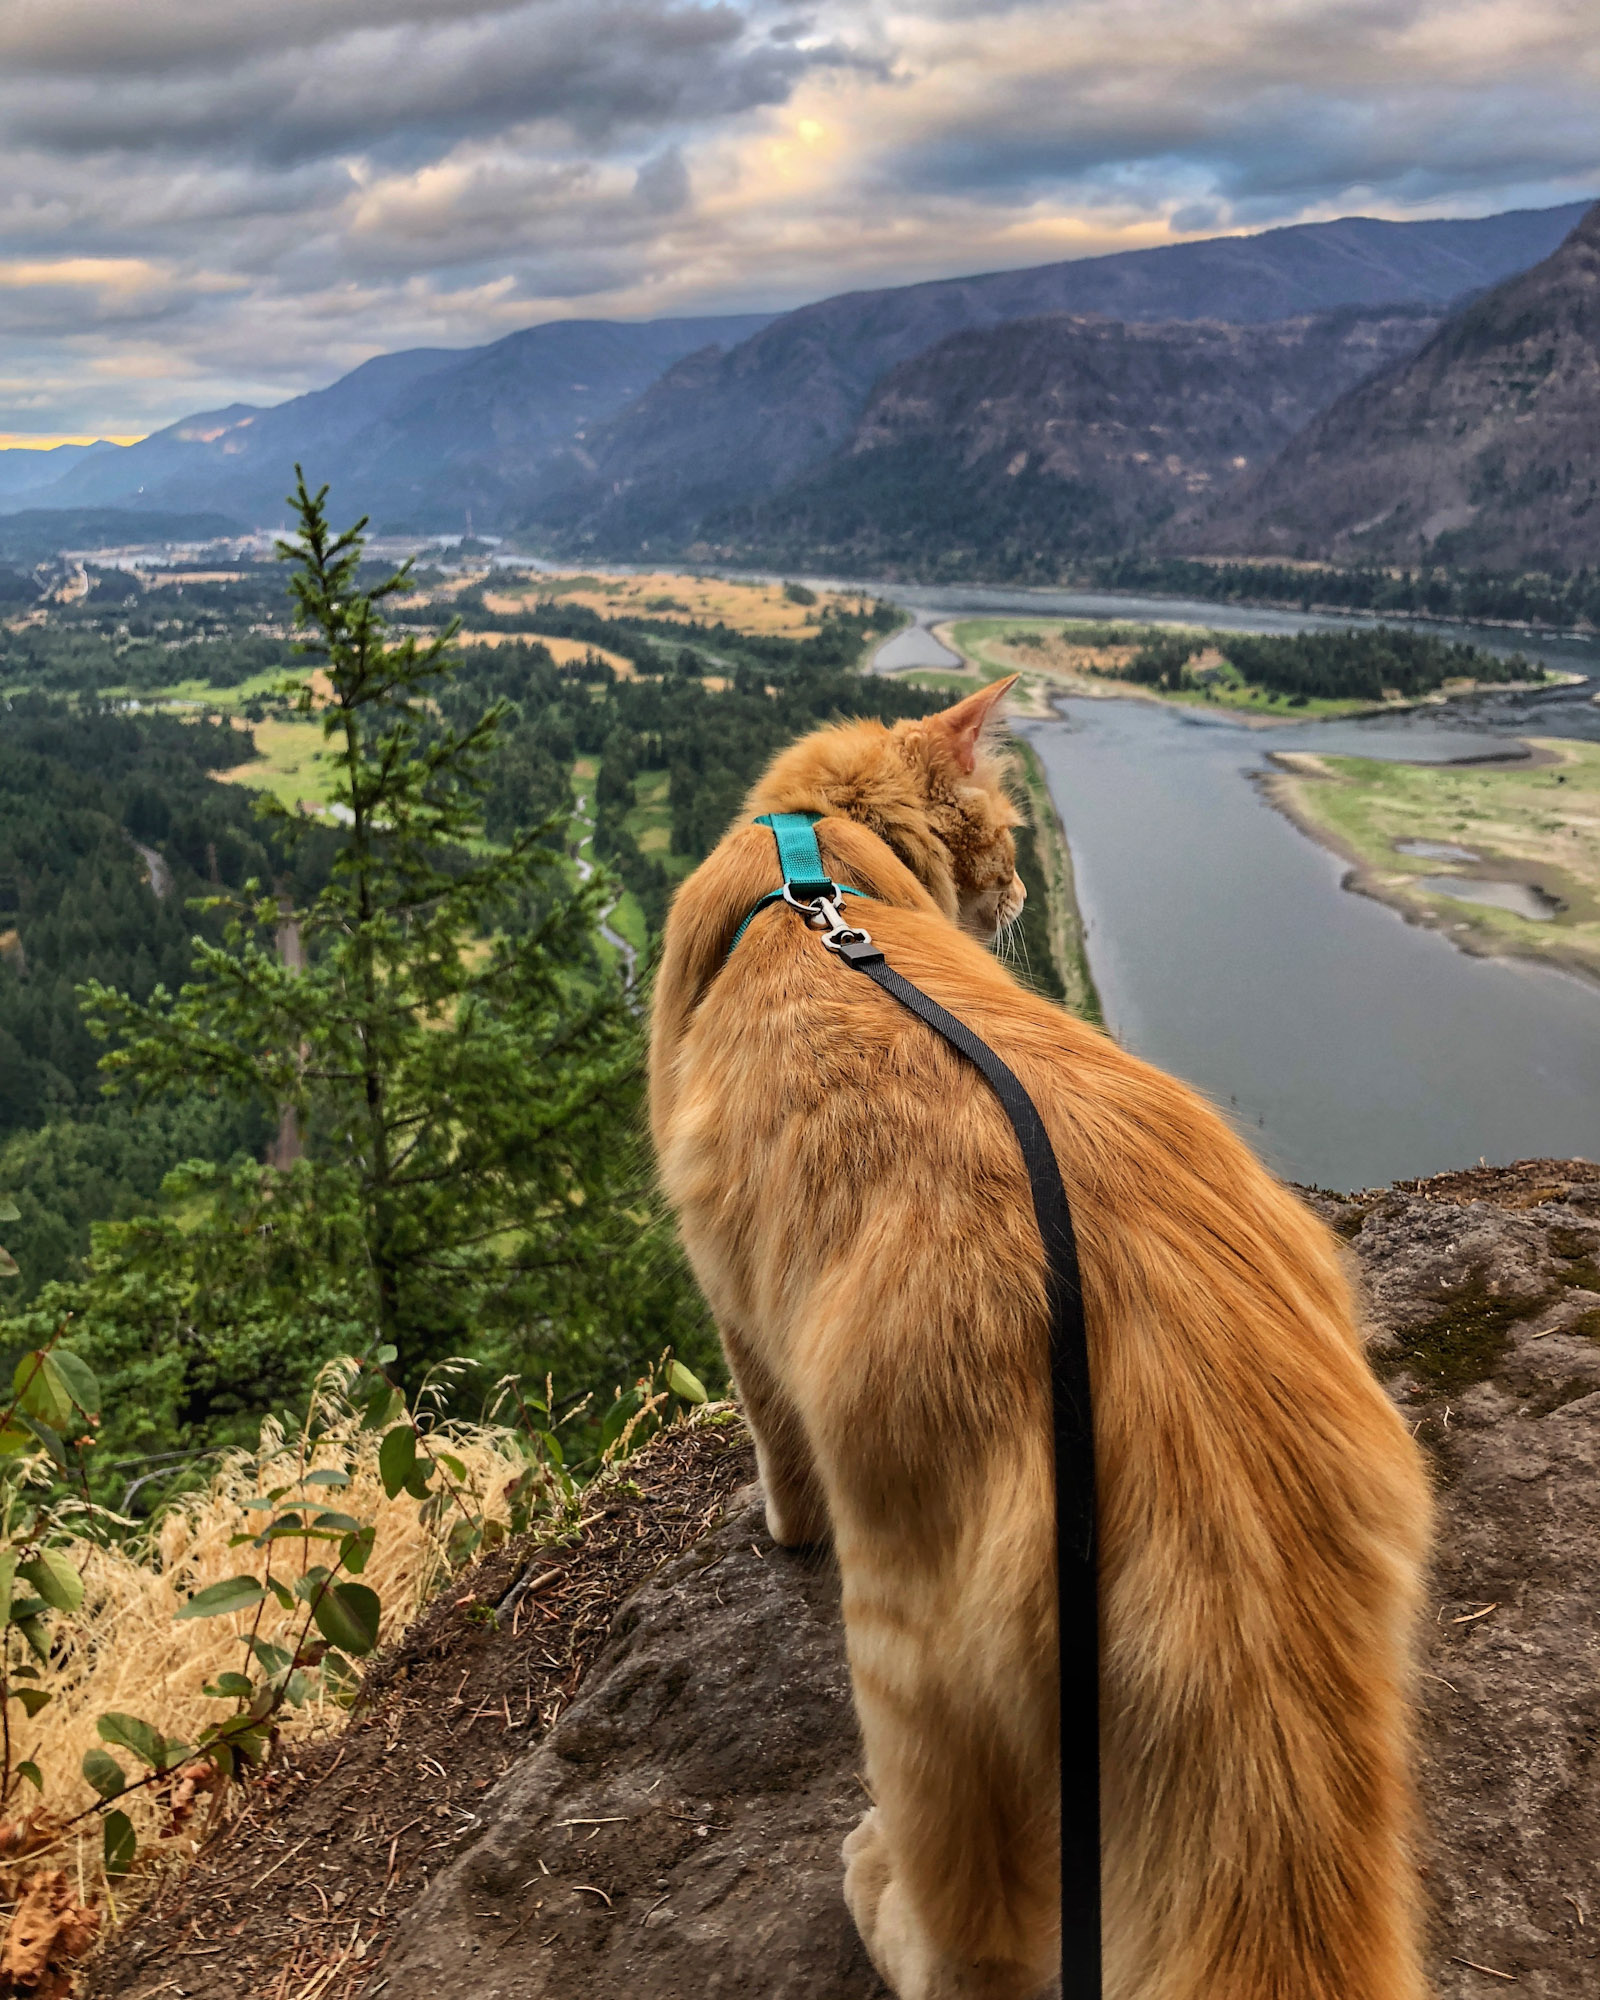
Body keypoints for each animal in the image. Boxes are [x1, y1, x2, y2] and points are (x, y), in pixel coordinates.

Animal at [648, 680, 1440, 2000]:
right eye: (1013, 840)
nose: (1023, 889)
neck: (817, 866)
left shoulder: (734, 1307)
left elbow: (772, 1449)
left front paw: (776, 1522)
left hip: (909, 1661)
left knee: (971, 1939)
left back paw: (878, 1894)